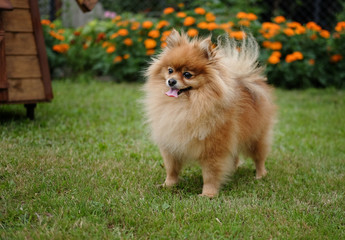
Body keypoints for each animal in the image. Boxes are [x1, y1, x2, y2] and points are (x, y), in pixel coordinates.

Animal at [141, 29, 276, 197]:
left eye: (187, 74)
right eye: (170, 70)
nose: (171, 81)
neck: (186, 106)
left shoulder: (214, 148)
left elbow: (210, 174)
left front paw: (208, 194)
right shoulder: (170, 144)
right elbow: (171, 169)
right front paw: (168, 185)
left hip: (256, 138)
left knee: (259, 157)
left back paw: (260, 175)